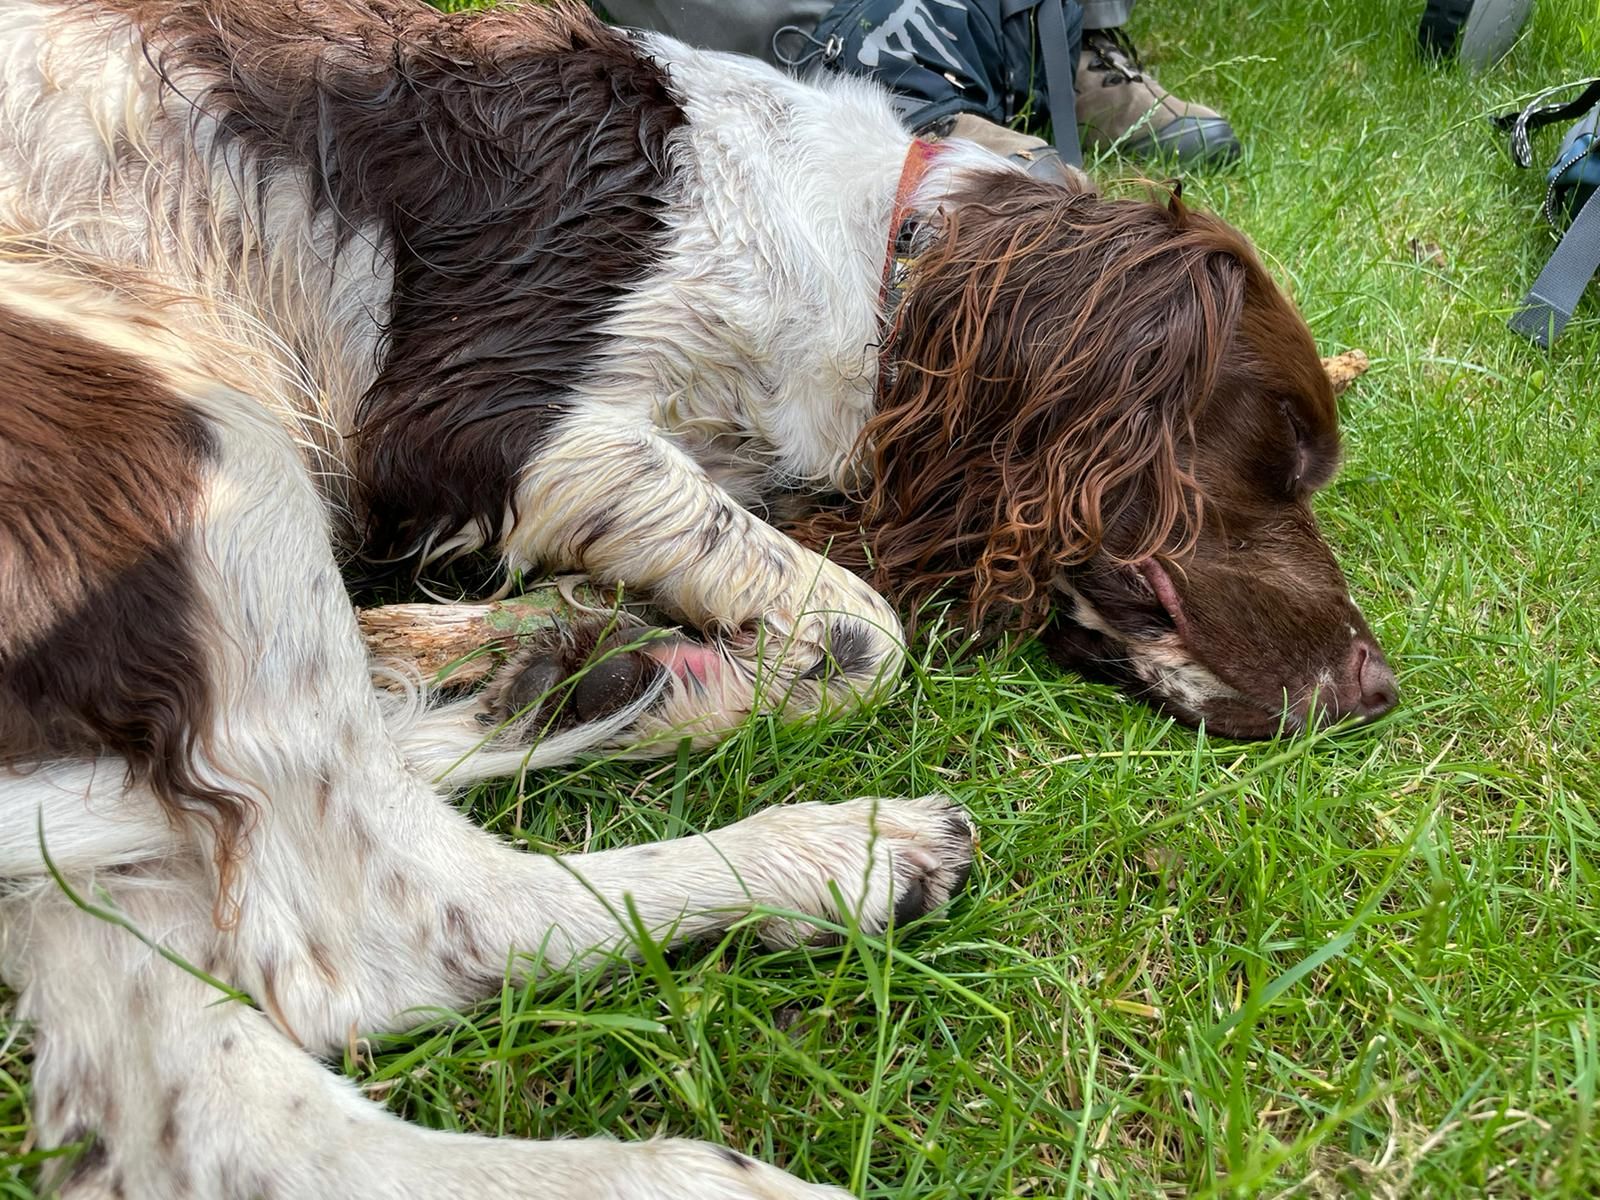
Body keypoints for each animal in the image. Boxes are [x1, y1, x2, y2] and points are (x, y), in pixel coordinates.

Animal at [0, 0, 1395, 1196]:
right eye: (1279, 458)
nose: (1378, 690)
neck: (865, 242)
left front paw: (559, 655)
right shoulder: (485, 416)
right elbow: (863, 633)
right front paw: (687, 675)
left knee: (226, 1112)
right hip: (192, 407)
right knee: (383, 933)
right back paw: (821, 845)